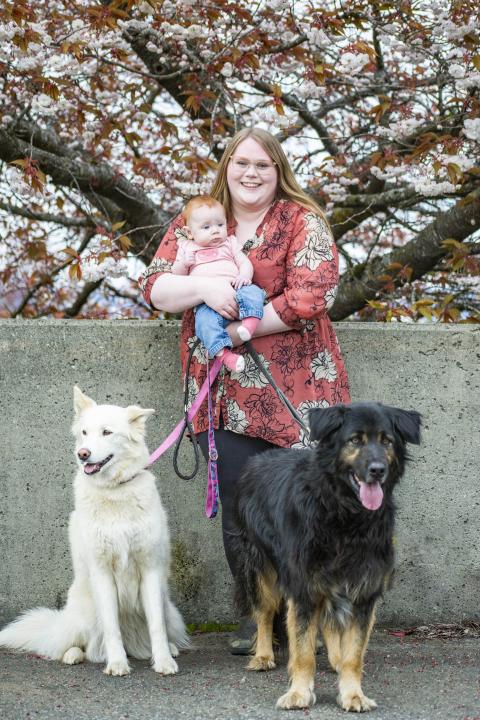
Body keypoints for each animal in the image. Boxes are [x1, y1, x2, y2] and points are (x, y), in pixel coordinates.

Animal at [0, 388, 190, 676]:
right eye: (84, 433)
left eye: (107, 432)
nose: (83, 454)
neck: (115, 491)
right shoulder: (102, 573)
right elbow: (111, 628)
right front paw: (117, 664)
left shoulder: (150, 570)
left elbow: (156, 626)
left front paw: (164, 661)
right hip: (84, 614)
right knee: (75, 646)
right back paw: (74, 655)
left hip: (168, 607)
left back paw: (169, 649)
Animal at [232, 402, 420, 712]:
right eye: (355, 440)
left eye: (387, 441)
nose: (377, 470)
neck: (345, 514)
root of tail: (256, 461)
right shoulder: (304, 589)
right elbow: (303, 650)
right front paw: (298, 693)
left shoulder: (362, 591)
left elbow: (353, 652)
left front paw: (352, 693)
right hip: (259, 568)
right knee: (265, 611)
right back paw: (262, 655)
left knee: (330, 624)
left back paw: (335, 661)